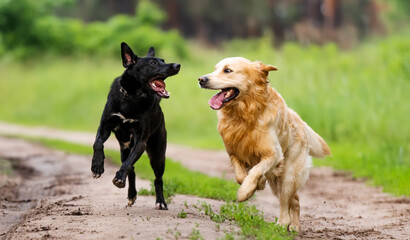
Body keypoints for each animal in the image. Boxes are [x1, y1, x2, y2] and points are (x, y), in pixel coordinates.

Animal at [91, 42, 181, 209]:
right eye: (153, 63)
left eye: (163, 60)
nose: (177, 65)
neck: (132, 97)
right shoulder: (104, 127)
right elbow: (98, 144)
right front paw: (97, 166)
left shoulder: (141, 141)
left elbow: (129, 162)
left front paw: (119, 177)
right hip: (124, 150)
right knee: (131, 169)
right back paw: (131, 195)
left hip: (158, 155)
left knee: (157, 178)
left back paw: (160, 202)